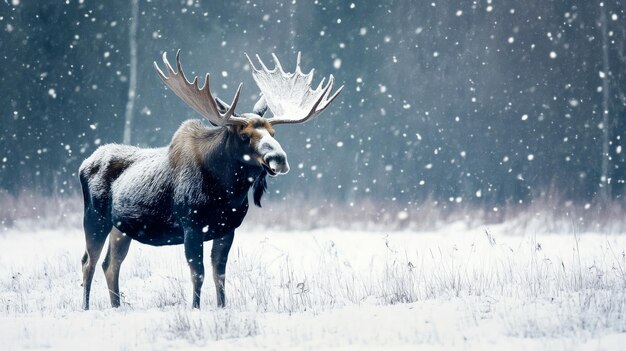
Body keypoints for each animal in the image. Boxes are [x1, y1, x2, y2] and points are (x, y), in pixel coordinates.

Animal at [79, 50, 342, 310]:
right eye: (244, 135)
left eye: (273, 133)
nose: (278, 158)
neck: (226, 194)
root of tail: (83, 164)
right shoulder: (192, 226)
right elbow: (199, 273)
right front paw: (195, 309)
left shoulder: (227, 229)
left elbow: (220, 274)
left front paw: (222, 307)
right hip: (95, 218)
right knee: (88, 261)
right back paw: (86, 307)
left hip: (121, 228)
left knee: (111, 263)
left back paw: (116, 306)